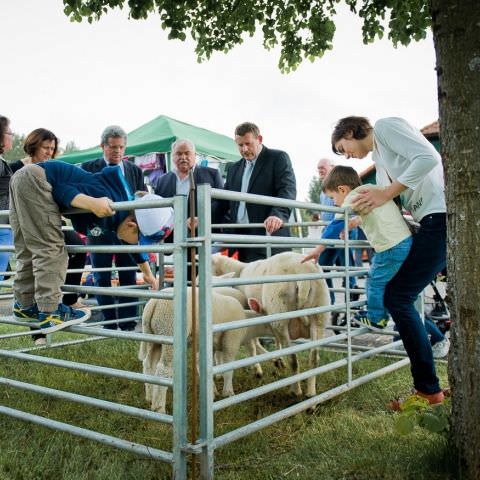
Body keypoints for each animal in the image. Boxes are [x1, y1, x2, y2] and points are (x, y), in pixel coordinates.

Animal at [212, 251, 332, 398]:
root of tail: (302, 273)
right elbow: (275, 341)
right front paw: (277, 359)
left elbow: (253, 344)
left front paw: (260, 367)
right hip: (319, 315)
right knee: (314, 358)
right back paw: (311, 394)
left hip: (280, 314)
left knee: (293, 360)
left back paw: (296, 390)